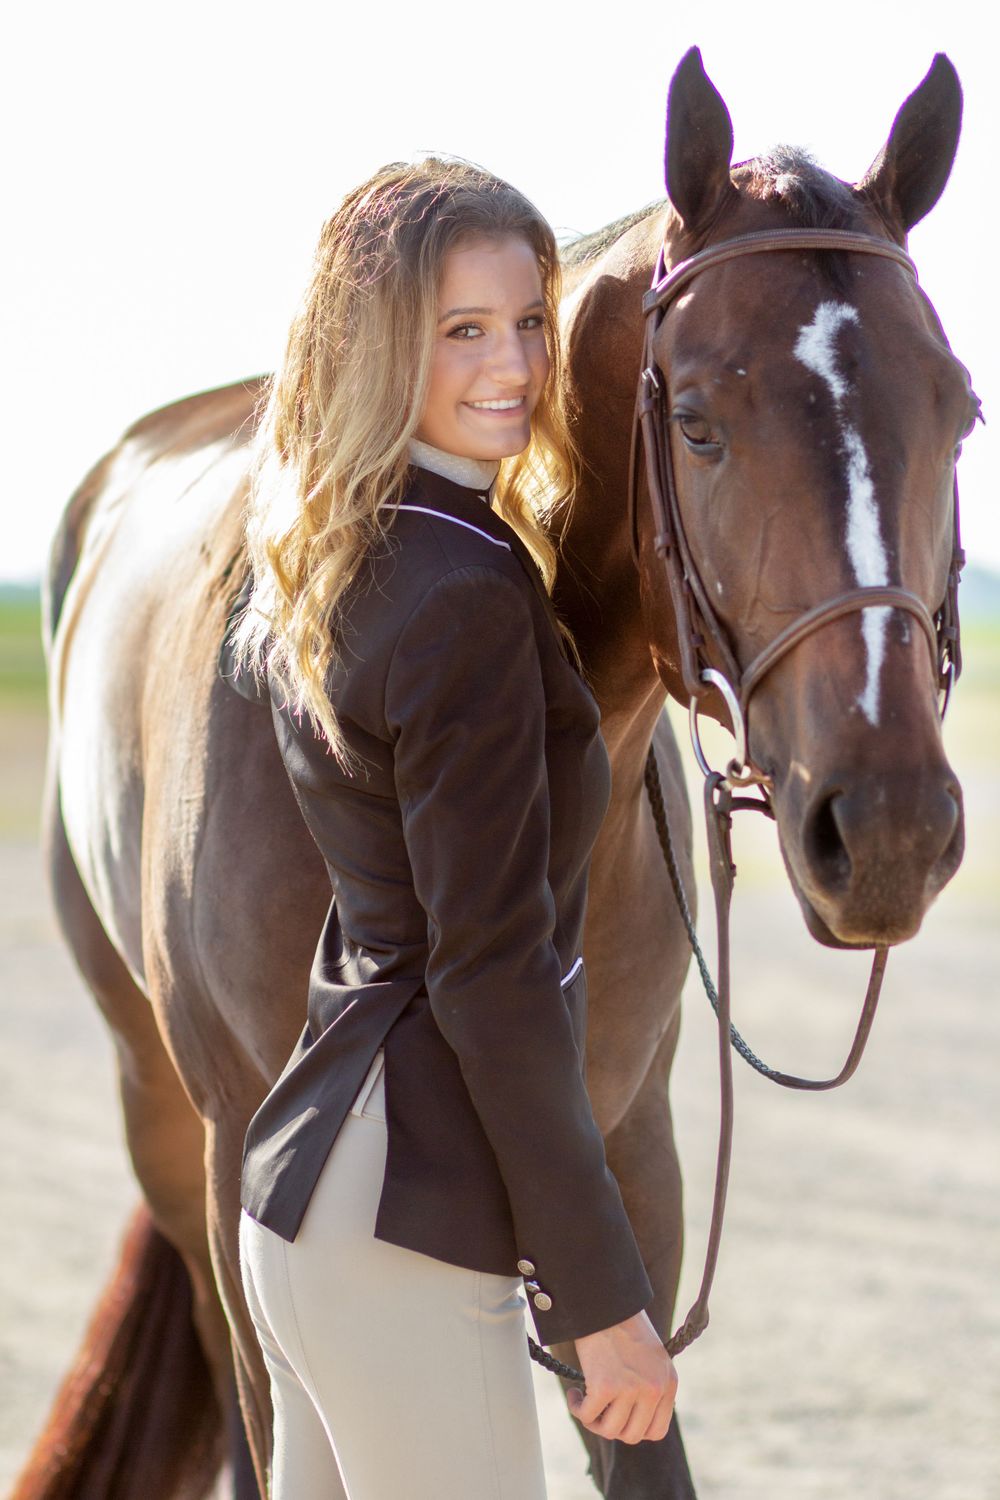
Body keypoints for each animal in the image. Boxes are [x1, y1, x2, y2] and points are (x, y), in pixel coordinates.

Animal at [18, 45, 974, 1500]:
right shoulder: (248, 1157)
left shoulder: (620, 1158)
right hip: (173, 1138)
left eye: (961, 414)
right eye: (699, 423)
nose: (891, 829)